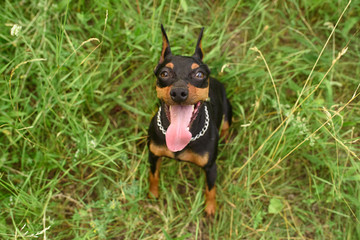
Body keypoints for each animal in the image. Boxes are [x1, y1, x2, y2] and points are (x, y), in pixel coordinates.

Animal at [148, 25, 232, 217]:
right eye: (164, 73)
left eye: (199, 74)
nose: (179, 92)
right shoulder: (153, 155)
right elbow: (153, 176)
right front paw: (153, 194)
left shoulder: (210, 167)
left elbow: (211, 189)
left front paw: (210, 208)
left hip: (227, 111)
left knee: (226, 126)